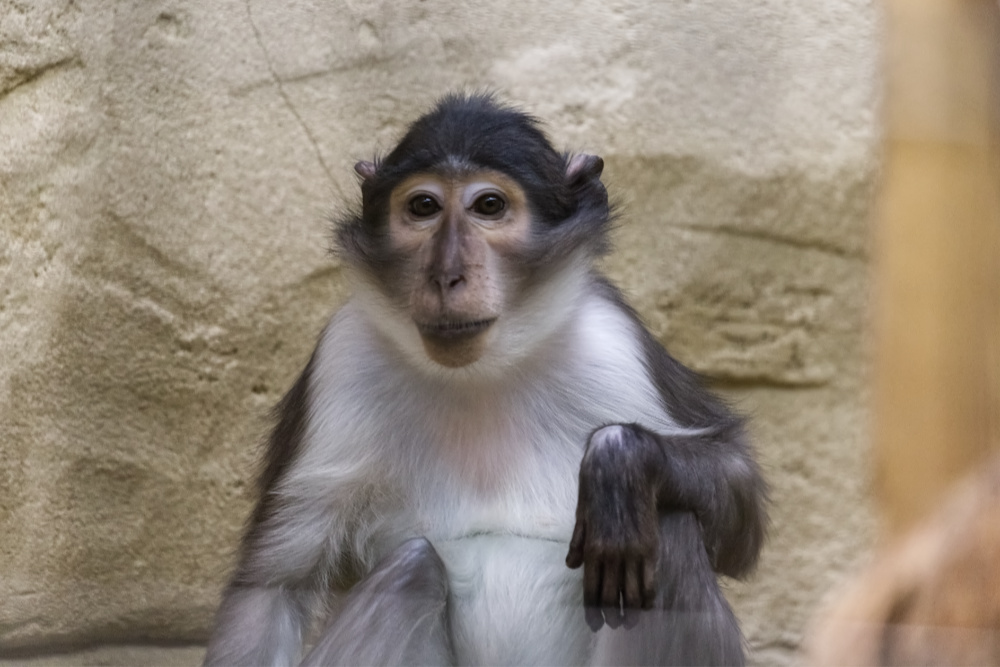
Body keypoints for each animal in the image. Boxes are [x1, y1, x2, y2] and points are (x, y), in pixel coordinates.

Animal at [201, 94, 764, 667]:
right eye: (423, 207)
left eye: (489, 206)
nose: (446, 274)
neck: (480, 375)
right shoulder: (343, 355)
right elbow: (272, 588)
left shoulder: (611, 338)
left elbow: (738, 500)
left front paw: (621, 461)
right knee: (413, 568)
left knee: (669, 523)